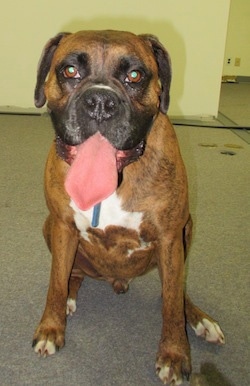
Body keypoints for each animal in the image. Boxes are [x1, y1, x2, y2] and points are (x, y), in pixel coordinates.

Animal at [32, 30, 225, 386]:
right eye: (69, 71)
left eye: (134, 75)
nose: (100, 101)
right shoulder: (63, 225)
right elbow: (55, 281)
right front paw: (51, 328)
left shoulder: (169, 237)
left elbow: (172, 306)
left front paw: (174, 355)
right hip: (49, 228)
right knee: (72, 274)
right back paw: (70, 297)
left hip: (186, 230)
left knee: (176, 293)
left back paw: (200, 320)